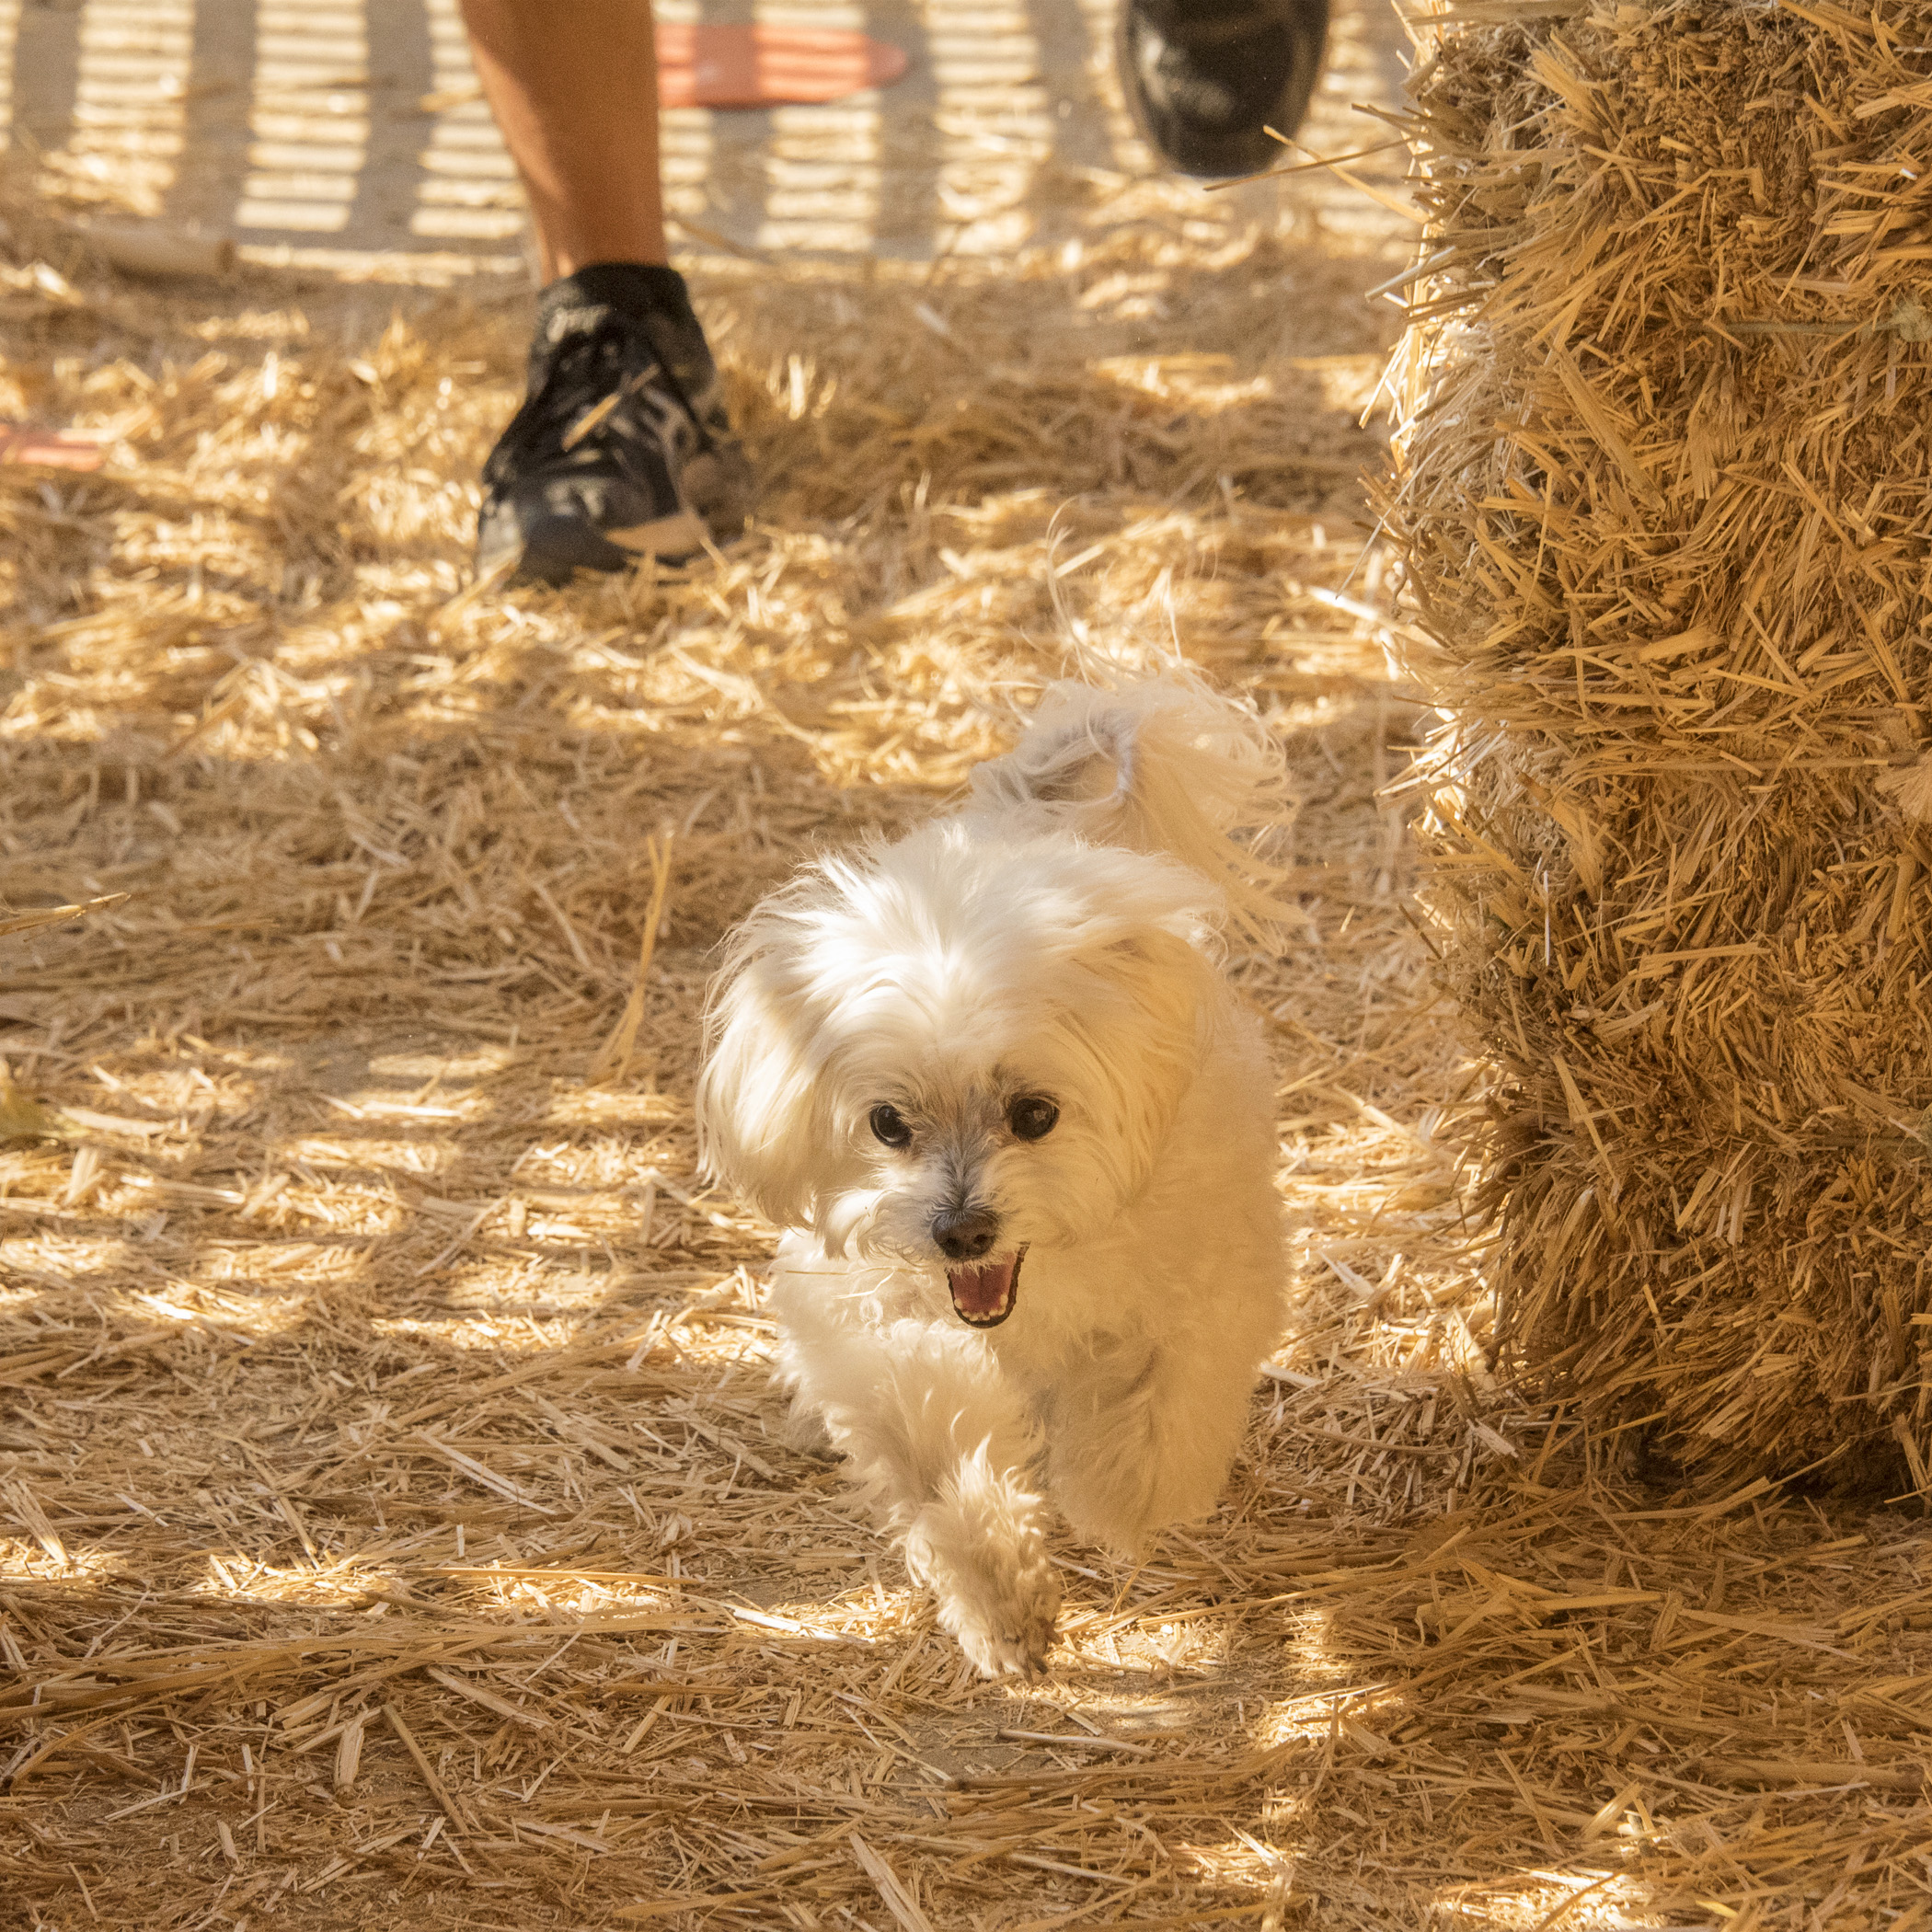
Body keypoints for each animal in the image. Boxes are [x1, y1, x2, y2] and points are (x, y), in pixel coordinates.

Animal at [691, 675, 1282, 1676]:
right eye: (888, 1124)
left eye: (1034, 1114)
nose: (961, 1231)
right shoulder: (874, 1325)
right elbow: (938, 1442)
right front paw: (1002, 1601)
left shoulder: (1200, 1287)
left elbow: (1159, 1411)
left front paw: (1116, 1495)